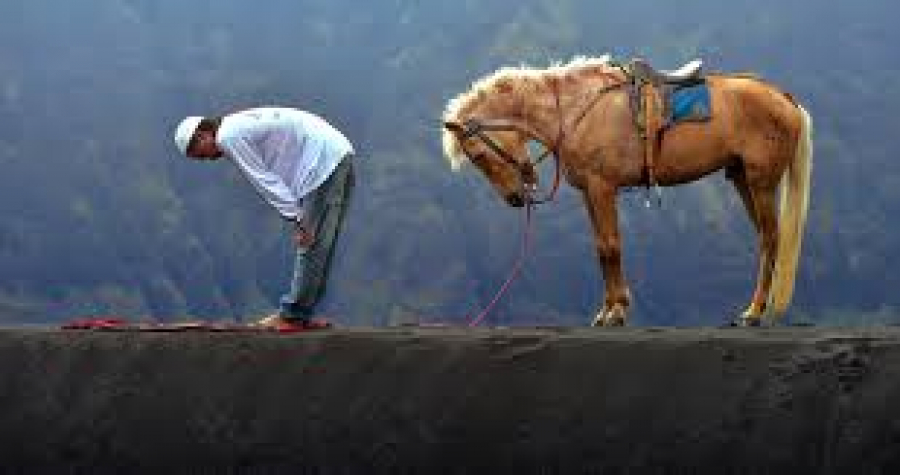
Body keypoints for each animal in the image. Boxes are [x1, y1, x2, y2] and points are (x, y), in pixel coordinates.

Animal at [440, 55, 812, 328]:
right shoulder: (589, 192)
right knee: (767, 237)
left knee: (770, 238)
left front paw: (617, 311)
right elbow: (601, 248)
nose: (516, 199)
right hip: (741, 179)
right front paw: (608, 309)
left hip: (761, 182)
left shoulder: (603, 187)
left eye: (477, 155)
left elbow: (611, 246)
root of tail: (783, 98)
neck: (574, 109)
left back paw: (754, 312)